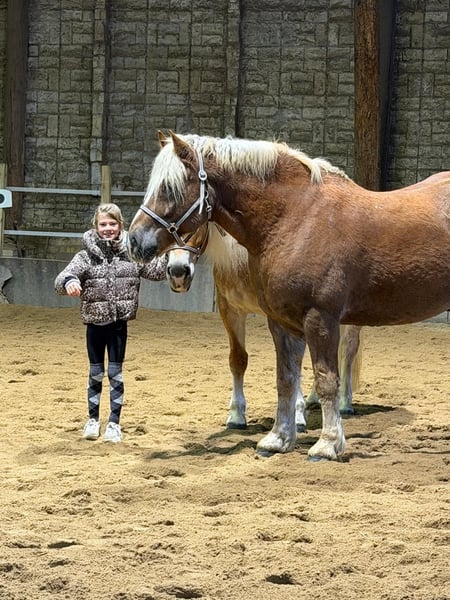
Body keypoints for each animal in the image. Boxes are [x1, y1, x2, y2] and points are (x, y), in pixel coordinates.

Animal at [165, 220, 363, 433]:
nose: (178, 272)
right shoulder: (229, 310)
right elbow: (238, 360)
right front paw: (236, 416)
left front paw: (298, 417)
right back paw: (314, 399)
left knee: (348, 349)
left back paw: (344, 403)